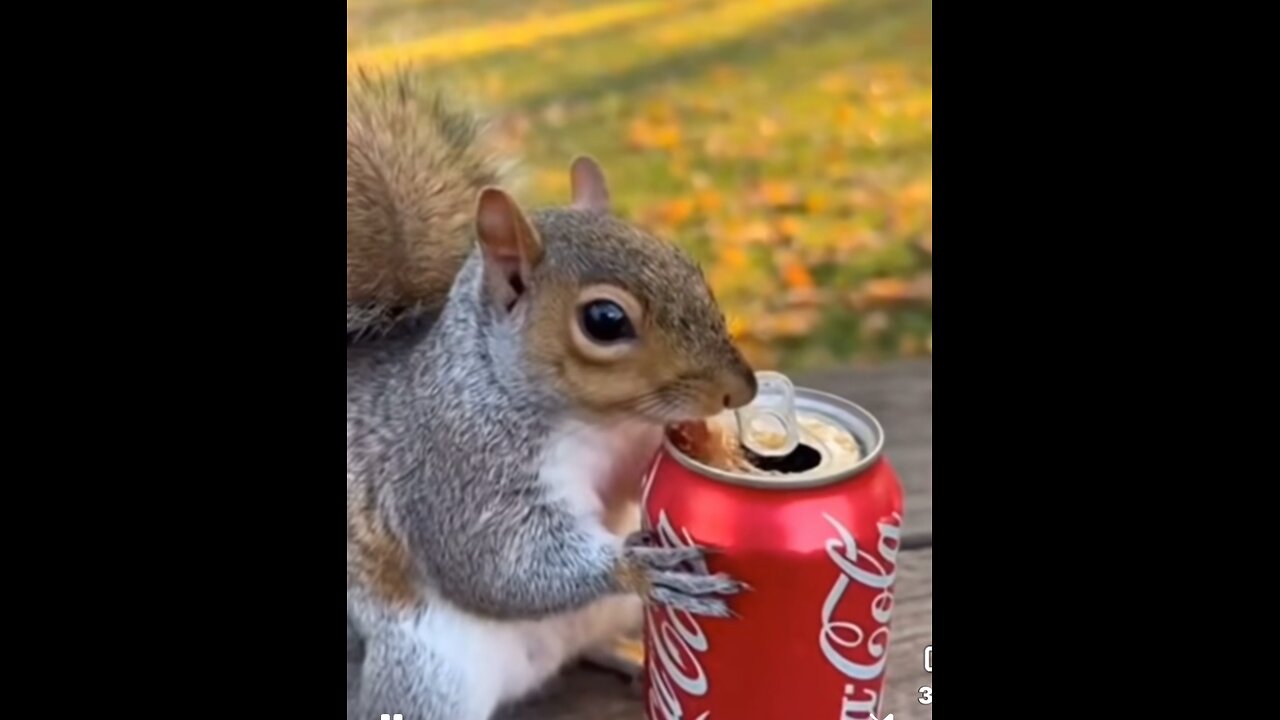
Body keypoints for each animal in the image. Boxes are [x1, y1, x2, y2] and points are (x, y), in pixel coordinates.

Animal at [346, 72, 759, 720]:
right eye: (605, 320)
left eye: (687, 266)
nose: (741, 388)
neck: (594, 423)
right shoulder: (452, 469)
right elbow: (498, 562)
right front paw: (637, 565)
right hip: (426, 677)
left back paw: (628, 658)